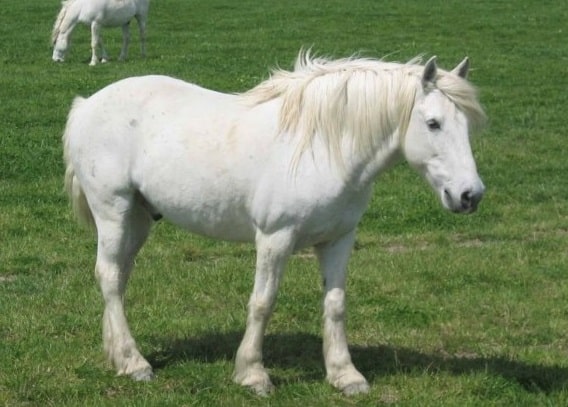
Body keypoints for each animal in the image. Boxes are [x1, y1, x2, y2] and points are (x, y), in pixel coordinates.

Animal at [63, 51, 488, 396]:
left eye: (467, 126)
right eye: (433, 123)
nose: (470, 195)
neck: (323, 147)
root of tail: (87, 105)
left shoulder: (339, 239)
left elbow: (335, 303)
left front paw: (345, 375)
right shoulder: (275, 238)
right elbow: (262, 303)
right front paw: (253, 374)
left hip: (138, 218)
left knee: (118, 278)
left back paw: (118, 356)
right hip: (113, 210)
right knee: (109, 277)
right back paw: (135, 364)